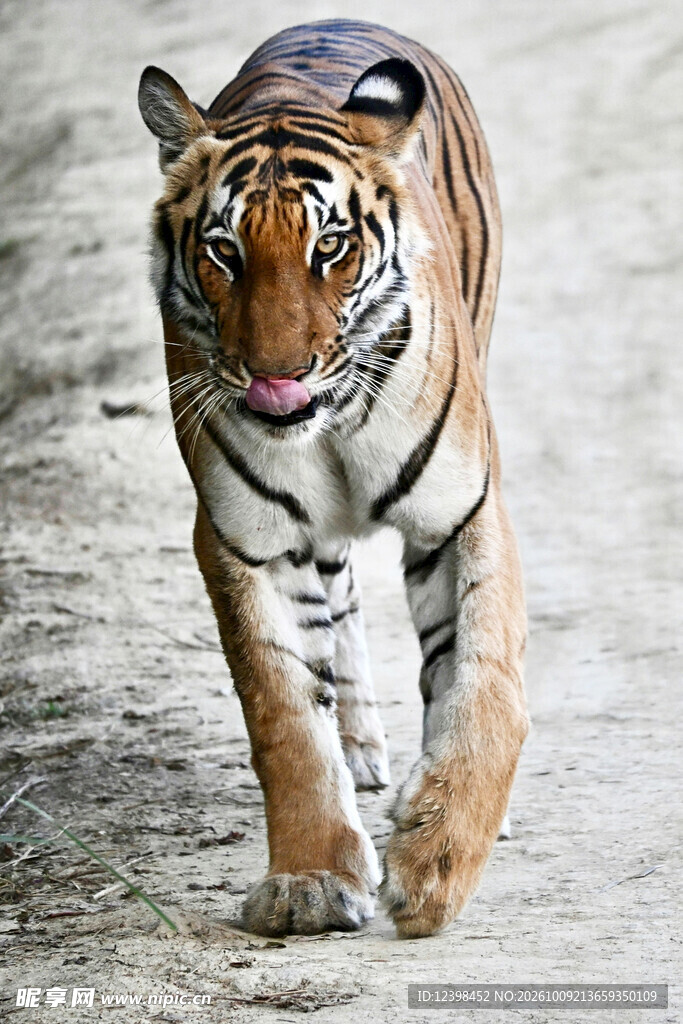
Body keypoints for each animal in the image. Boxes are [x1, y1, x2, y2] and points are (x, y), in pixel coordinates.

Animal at [138, 18, 528, 939]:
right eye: (224, 251)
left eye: (330, 247)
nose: (275, 377)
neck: (331, 425)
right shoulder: (242, 539)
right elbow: (283, 709)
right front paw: (310, 880)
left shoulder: (463, 510)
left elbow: (483, 678)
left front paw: (438, 857)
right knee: (336, 611)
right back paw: (358, 752)